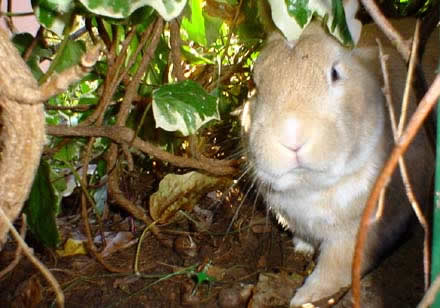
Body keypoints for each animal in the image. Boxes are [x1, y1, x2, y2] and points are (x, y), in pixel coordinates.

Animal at [241, 8, 436, 306]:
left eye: (335, 73)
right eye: (254, 83)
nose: (291, 134)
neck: (312, 188)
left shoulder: (356, 236)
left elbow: (333, 269)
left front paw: (303, 296)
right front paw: (301, 248)